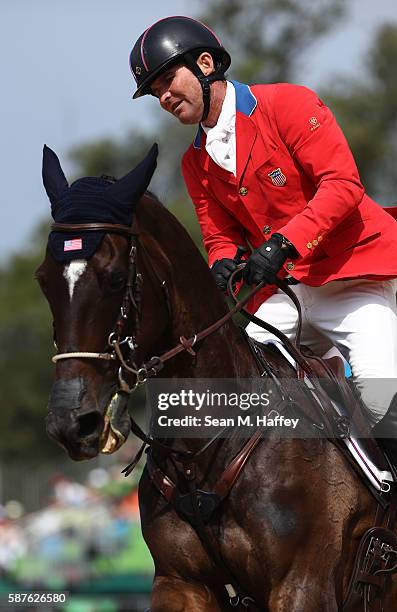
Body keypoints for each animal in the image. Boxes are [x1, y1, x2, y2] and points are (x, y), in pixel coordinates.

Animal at [35, 146, 394, 608]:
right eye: (43, 281)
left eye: (115, 278)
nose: (71, 422)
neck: (207, 453)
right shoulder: (180, 582)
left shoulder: (302, 586)